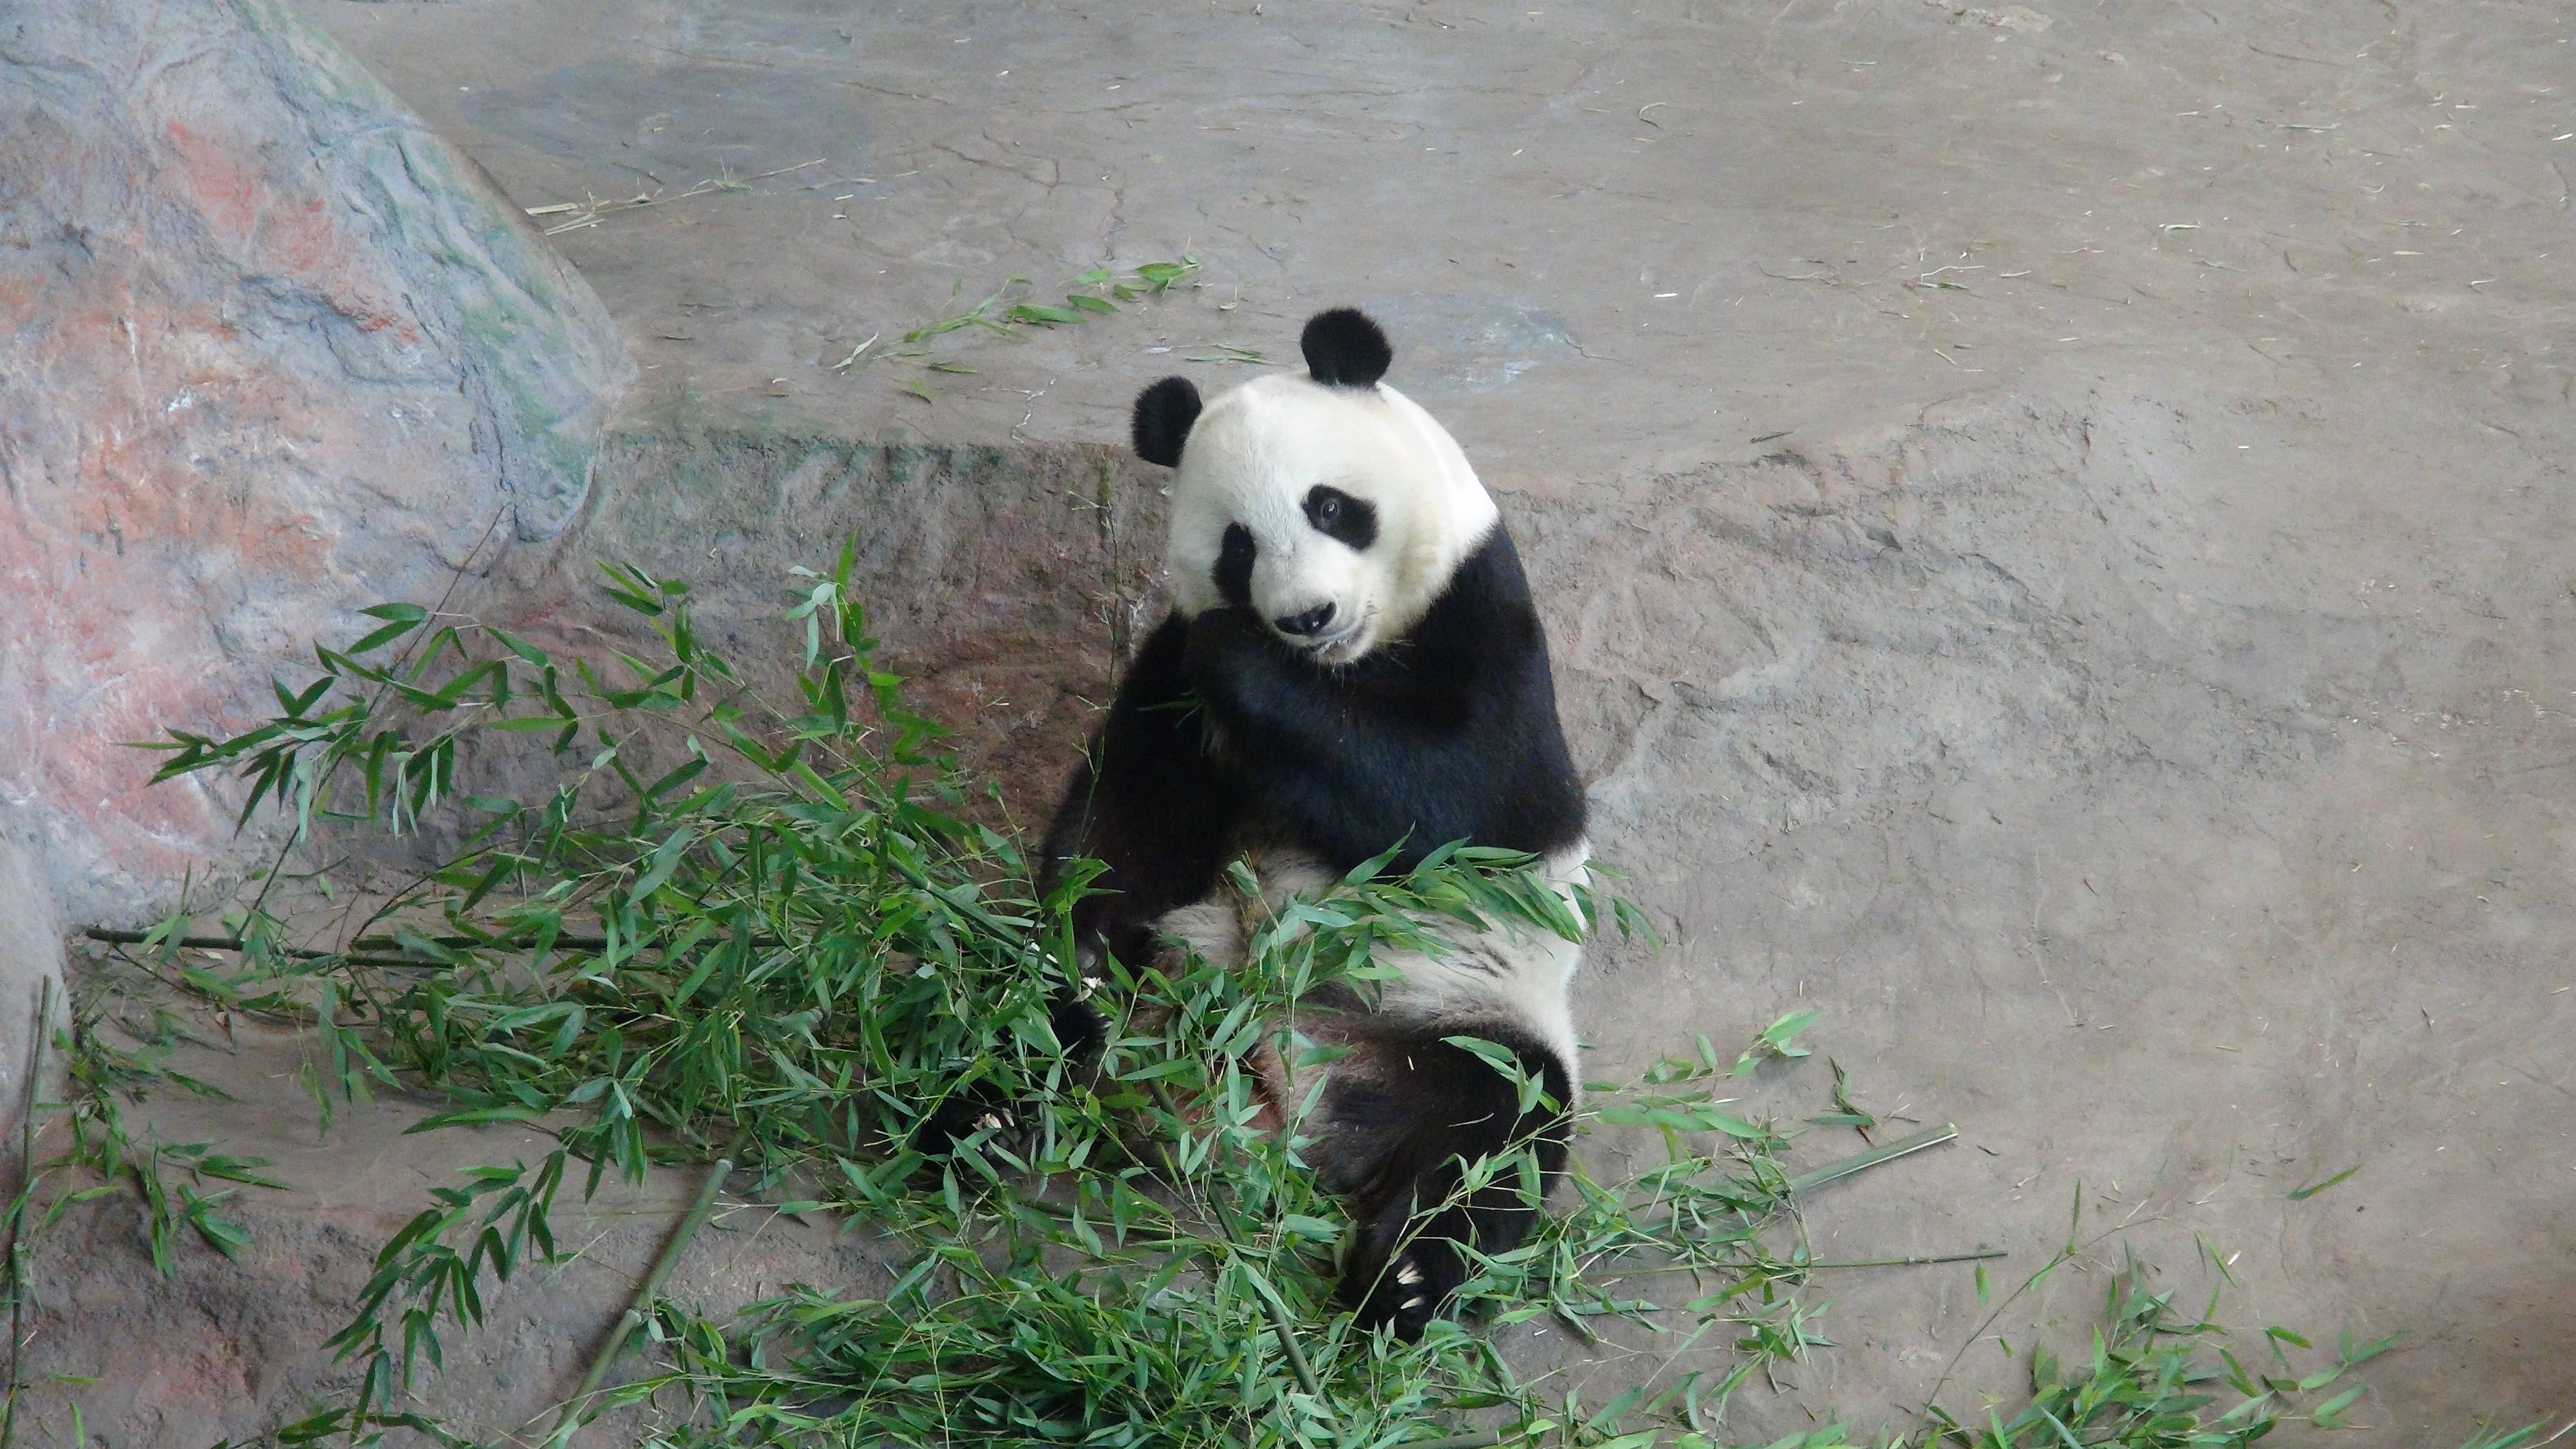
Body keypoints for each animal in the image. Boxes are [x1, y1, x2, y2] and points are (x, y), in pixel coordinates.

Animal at [1035, 311, 1597, 1340]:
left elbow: (1459, 800)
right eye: (1237, 546)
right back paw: (969, 1113)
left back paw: (1400, 1284)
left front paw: (1252, 664)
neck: (1339, 665)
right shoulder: (1168, 676)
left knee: (1497, 1129)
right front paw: (1083, 952)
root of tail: (1279, 1104)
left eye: (1331, 507)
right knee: (1019, 1034)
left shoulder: (1486, 619)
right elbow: (1129, 819)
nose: (1306, 615)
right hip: (1173, 978)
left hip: (1459, 1013)